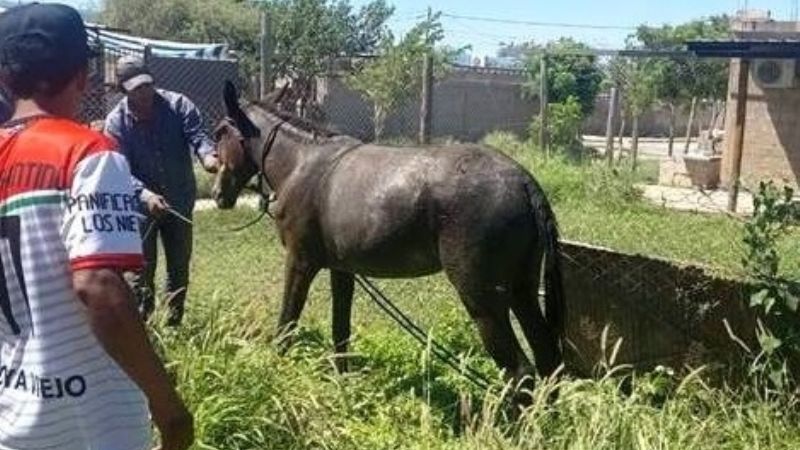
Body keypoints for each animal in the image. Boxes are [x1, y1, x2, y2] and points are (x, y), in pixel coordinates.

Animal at [211, 81, 566, 394]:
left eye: (220, 133)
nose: (217, 194)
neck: (302, 164)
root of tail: (523, 181)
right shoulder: (342, 270)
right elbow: (341, 331)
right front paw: (343, 388)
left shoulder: (300, 262)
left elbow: (287, 324)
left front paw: (273, 373)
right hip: (521, 290)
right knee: (548, 359)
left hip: (482, 298)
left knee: (520, 371)